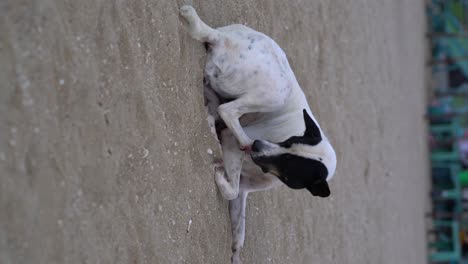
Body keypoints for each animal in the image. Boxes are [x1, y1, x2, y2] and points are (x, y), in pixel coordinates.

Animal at [179, 5, 336, 262]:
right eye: (288, 142)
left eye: (289, 162)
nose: (256, 146)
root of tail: (225, 39)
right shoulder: (232, 143)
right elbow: (230, 188)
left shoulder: (245, 188)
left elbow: (238, 234)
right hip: (275, 94)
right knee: (227, 110)